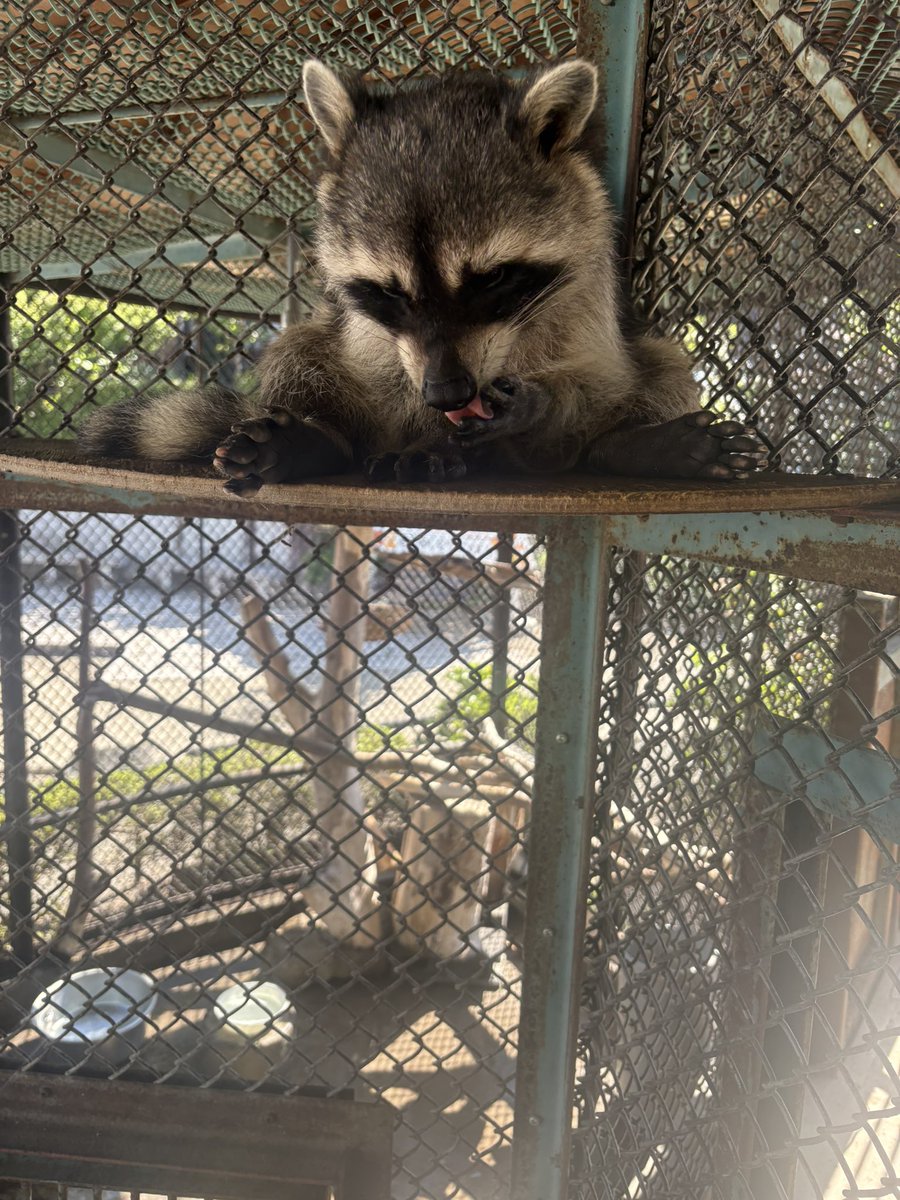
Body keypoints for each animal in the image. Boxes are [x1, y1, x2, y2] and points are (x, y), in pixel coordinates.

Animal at [78, 59, 766, 493]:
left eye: (491, 279)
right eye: (388, 291)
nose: (447, 396)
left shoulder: (588, 291)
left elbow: (596, 377)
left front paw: (542, 402)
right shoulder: (381, 341)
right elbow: (382, 373)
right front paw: (423, 436)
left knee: (657, 367)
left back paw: (625, 445)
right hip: (328, 351)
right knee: (303, 350)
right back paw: (322, 440)